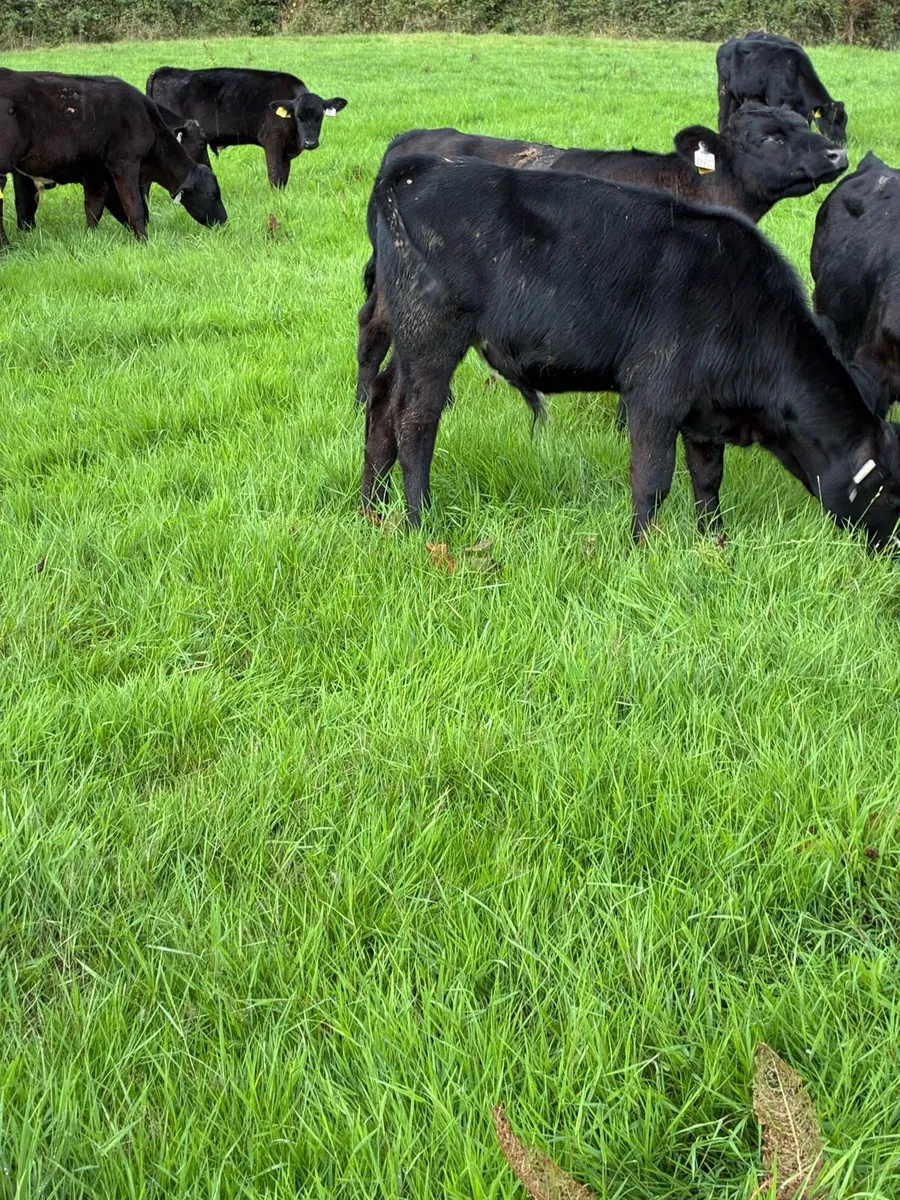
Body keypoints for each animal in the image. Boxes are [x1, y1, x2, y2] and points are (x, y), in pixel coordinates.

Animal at [0, 69, 226, 242]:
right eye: (213, 195)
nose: (224, 221)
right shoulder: (125, 164)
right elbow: (135, 207)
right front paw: (143, 241)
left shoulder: (94, 174)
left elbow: (94, 208)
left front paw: (90, 238)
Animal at [146, 66, 348, 189]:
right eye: (298, 117)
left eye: (320, 117)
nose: (310, 143)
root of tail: (165, 70)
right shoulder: (272, 142)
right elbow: (275, 176)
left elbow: (284, 177)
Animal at [356, 105, 848, 409]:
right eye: (769, 138)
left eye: (805, 124)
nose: (837, 152)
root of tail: (412, 139)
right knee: (374, 332)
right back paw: (363, 400)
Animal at [717, 32, 847, 144]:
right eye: (831, 122)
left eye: (845, 122)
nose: (842, 142)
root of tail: (729, 42)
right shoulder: (776, 101)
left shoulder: (804, 112)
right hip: (724, 90)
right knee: (723, 118)